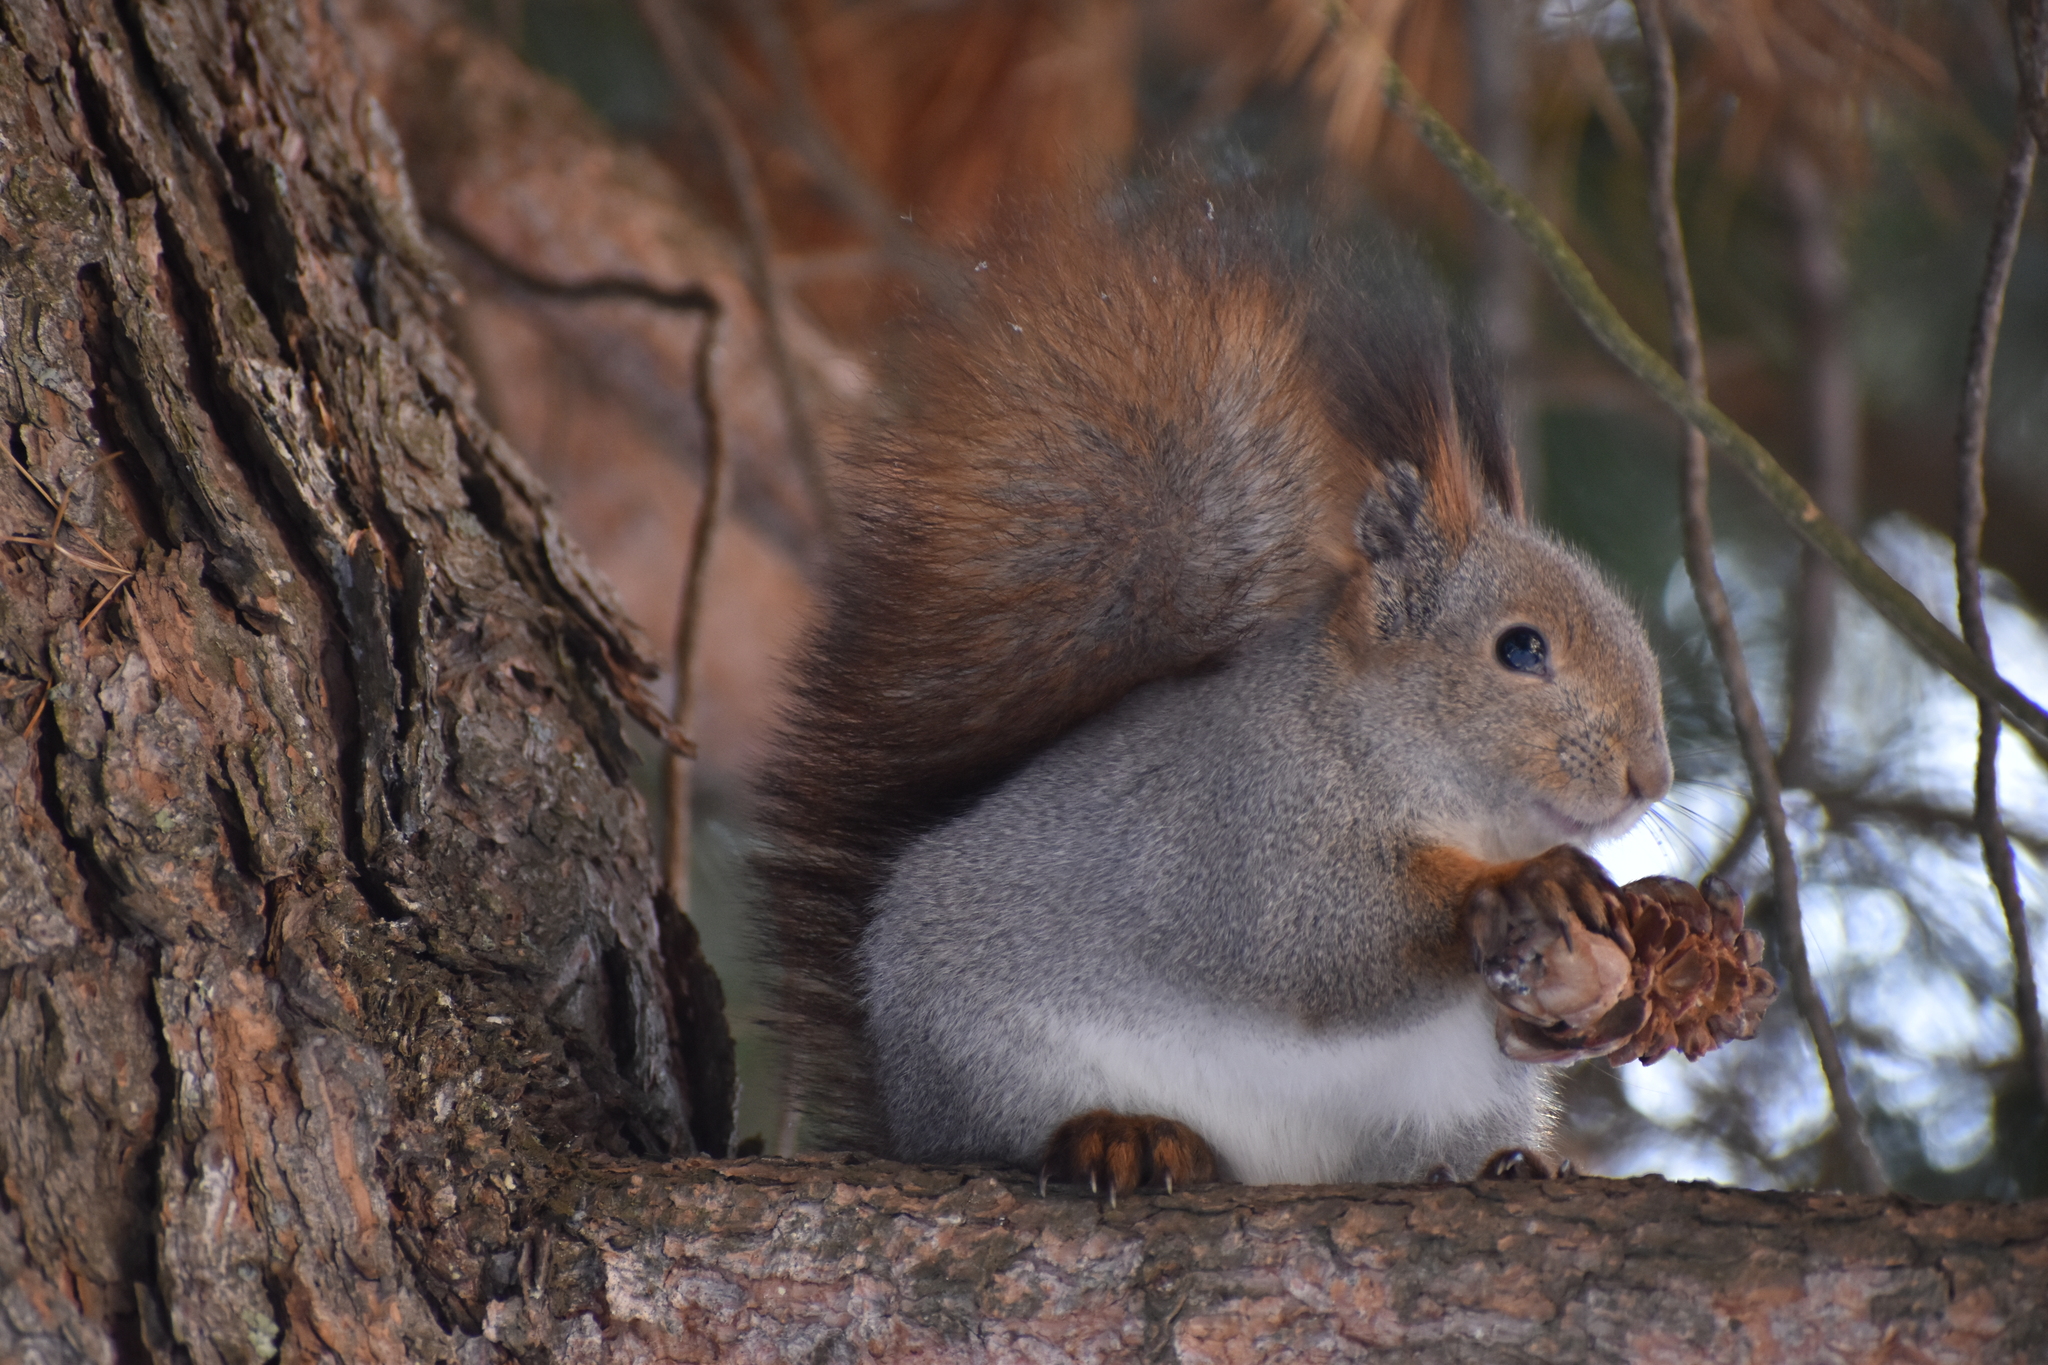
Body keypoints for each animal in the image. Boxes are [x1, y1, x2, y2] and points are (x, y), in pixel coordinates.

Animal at [753, 184, 1662, 1195]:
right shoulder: (1248, 831)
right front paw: (1527, 882)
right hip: (983, 1056)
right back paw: (1120, 1136)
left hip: (1448, 1101)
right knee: (1006, 1133)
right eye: (1520, 648)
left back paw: (1504, 1165)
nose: (1651, 778)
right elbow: (1327, 943)